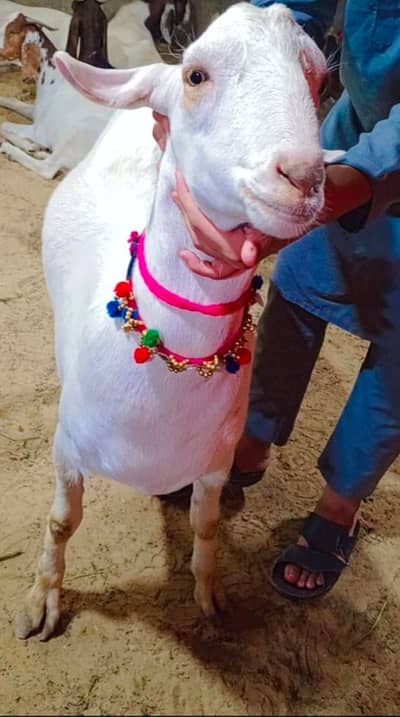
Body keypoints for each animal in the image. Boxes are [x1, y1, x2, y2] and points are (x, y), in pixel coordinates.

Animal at [15, 2, 340, 641]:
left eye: (317, 80)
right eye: (196, 76)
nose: (303, 176)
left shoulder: (213, 466)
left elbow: (207, 526)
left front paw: (211, 595)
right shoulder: (66, 448)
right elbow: (63, 523)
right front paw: (43, 601)